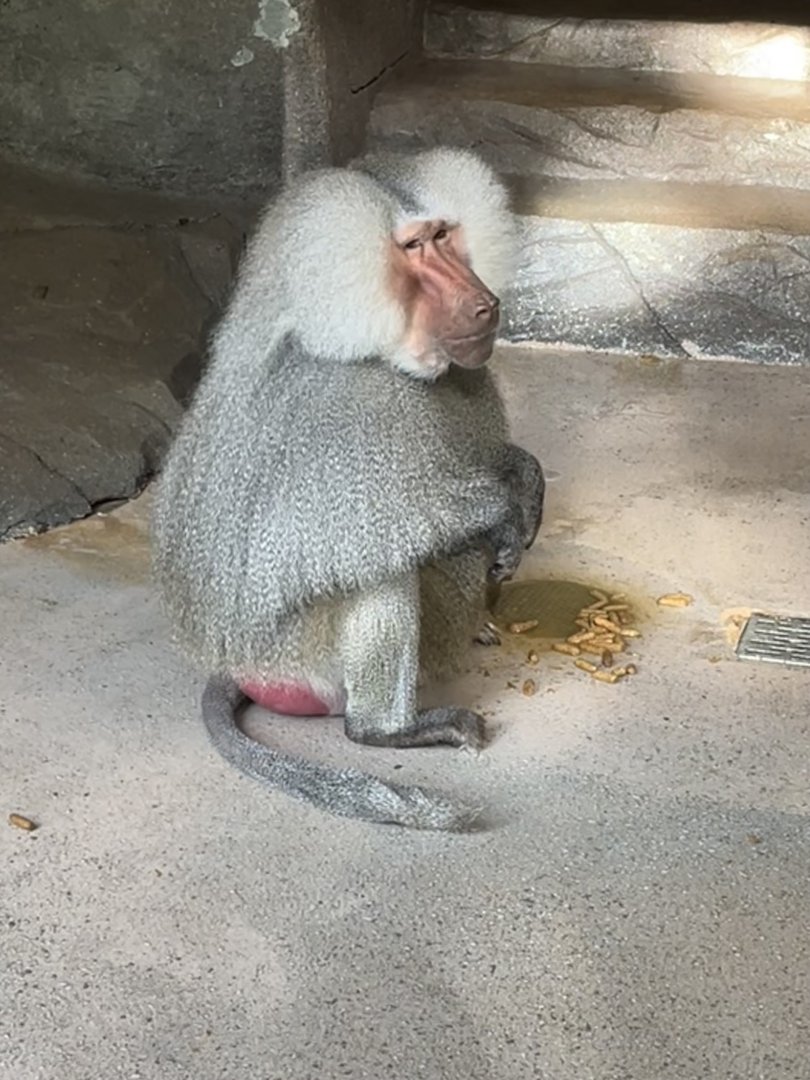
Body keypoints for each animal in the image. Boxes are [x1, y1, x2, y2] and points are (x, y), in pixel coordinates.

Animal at [151, 147, 545, 832]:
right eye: (413, 248)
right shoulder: (347, 409)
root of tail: (235, 662)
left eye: (446, 236)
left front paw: (526, 482)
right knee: (379, 571)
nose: (484, 305)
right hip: (300, 664)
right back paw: (390, 730)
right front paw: (502, 511)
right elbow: (384, 527)